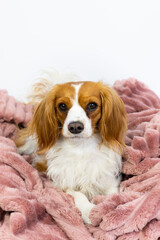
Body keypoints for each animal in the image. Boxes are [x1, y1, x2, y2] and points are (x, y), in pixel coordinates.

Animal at [16, 71, 127, 225]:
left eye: (92, 105)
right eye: (62, 106)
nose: (75, 126)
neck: (81, 148)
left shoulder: (109, 180)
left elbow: (112, 196)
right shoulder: (64, 183)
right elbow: (79, 194)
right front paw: (88, 210)